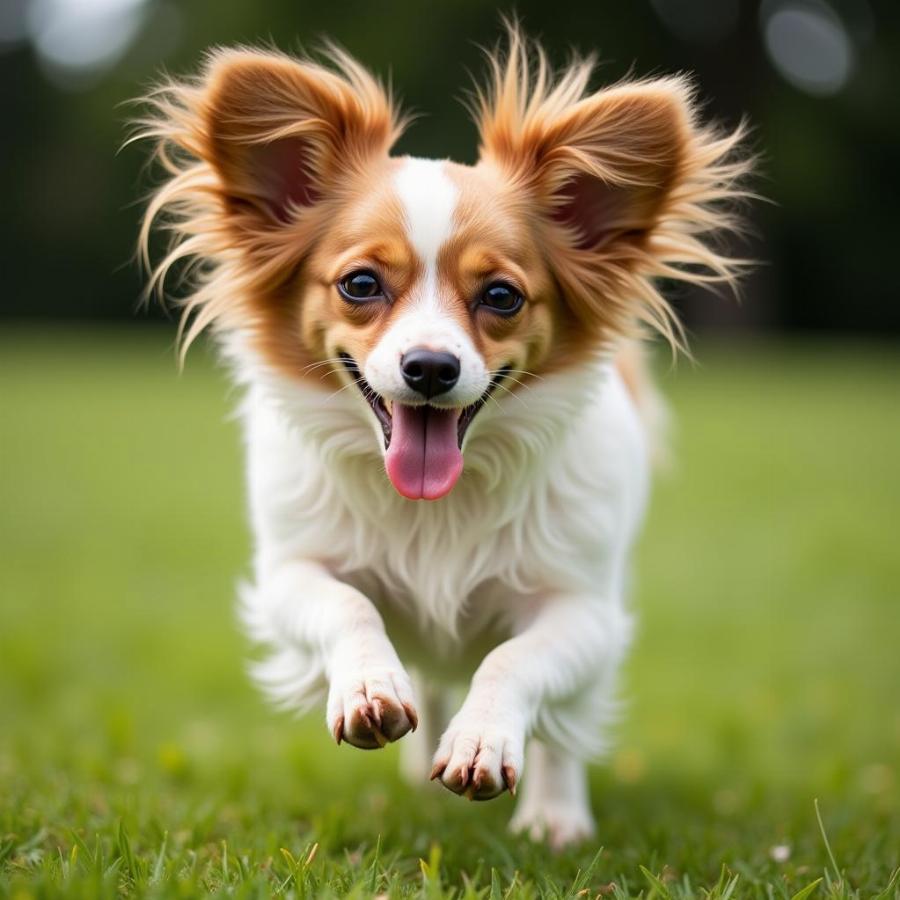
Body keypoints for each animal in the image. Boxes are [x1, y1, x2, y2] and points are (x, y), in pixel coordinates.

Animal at [134, 24, 748, 848]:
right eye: (361, 285)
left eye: (502, 297)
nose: (430, 366)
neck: (436, 507)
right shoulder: (291, 573)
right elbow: (348, 608)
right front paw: (369, 687)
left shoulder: (583, 610)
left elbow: (517, 662)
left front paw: (484, 740)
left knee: (559, 723)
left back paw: (554, 817)